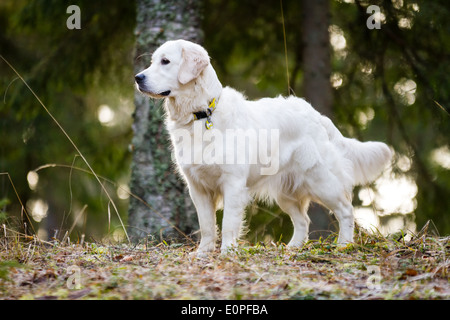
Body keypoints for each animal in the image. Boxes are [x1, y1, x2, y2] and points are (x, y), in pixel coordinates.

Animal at [135, 39, 392, 255]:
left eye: (165, 61)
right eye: (152, 61)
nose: (137, 78)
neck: (202, 114)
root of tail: (317, 115)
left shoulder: (233, 183)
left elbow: (228, 223)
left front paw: (227, 253)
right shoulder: (197, 187)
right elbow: (207, 225)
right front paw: (202, 254)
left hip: (321, 180)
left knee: (345, 210)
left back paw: (343, 244)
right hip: (285, 192)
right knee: (303, 220)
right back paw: (292, 248)